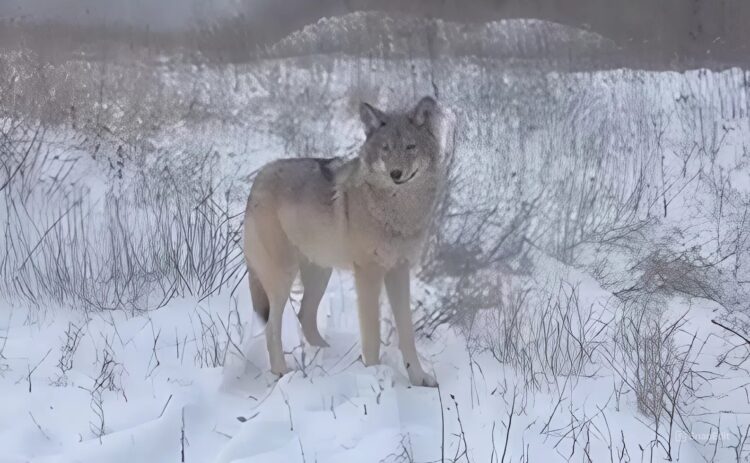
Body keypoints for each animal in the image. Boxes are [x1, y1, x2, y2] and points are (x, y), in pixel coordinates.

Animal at [243, 96, 450, 387]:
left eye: (410, 147)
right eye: (385, 149)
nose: (396, 173)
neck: (396, 213)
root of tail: (258, 178)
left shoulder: (399, 270)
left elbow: (407, 332)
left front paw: (419, 378)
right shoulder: (368, 273)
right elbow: (372, 335)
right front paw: (374, 376)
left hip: (321, 273)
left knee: (305, 315)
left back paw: (327, 358)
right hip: (283, 278)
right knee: (272, 327)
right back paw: (283, 372)